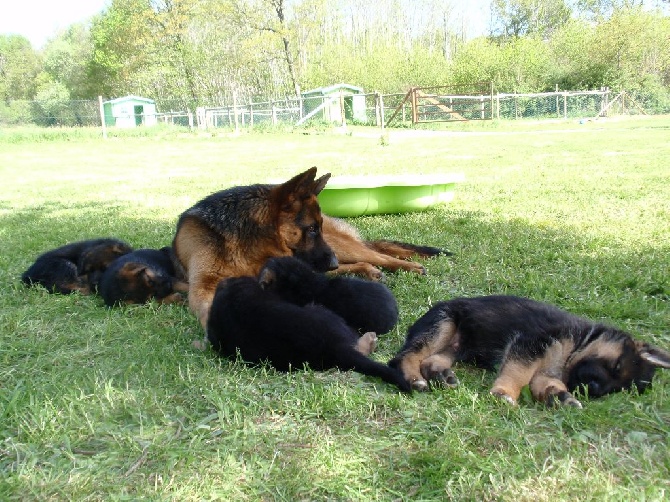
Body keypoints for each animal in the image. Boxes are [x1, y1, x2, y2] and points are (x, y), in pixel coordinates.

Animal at [388, 294, 670, 408]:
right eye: (617, 366)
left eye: (617, 390)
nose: (593, 390)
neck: (578, 343)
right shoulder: (530, 345)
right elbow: (519, 373)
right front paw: (504, 393)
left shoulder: (547, 371)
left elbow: (547, 384)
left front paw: (561, 398)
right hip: (443, 325)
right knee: (407, 356)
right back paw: (414, 378)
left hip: (455, 346)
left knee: (432, 359)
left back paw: (442, 375)